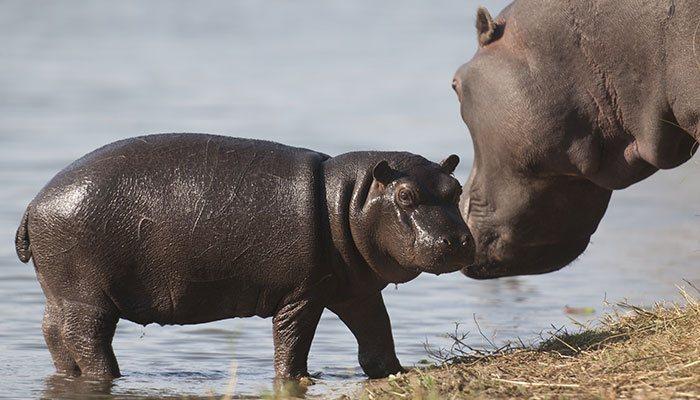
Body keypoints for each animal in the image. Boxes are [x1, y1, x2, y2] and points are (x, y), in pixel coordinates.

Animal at [15, 133, 473, 380]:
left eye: (456, 188)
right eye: (406, 195)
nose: (458, 241)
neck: (349, 201)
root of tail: (34, 204)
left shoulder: (353, 289)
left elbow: (377, 331)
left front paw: (395, 371)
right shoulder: (302, 294)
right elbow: (293, 339)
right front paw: (298, 378)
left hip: (60, 292)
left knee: (52, 332)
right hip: (86, 296)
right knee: (86, 337)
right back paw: (111, 375)